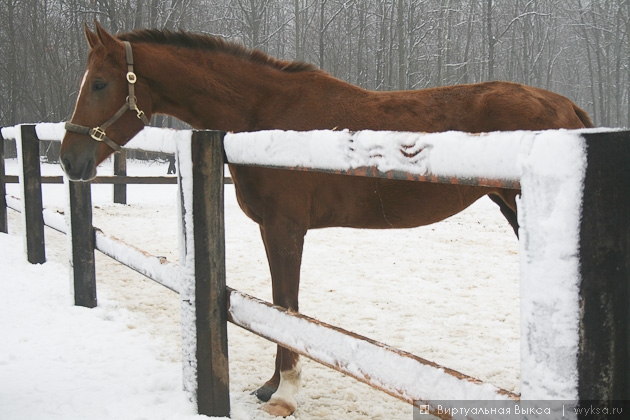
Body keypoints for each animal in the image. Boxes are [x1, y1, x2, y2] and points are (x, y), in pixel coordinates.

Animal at [58, 21, 592, 416]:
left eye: (101, 83)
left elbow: (287, 307)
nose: (69, 161)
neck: (265, 117)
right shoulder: (273, 229)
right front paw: (271, 385)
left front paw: (286, 393)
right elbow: (279, 305)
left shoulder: (285, 229)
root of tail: (567, 106)